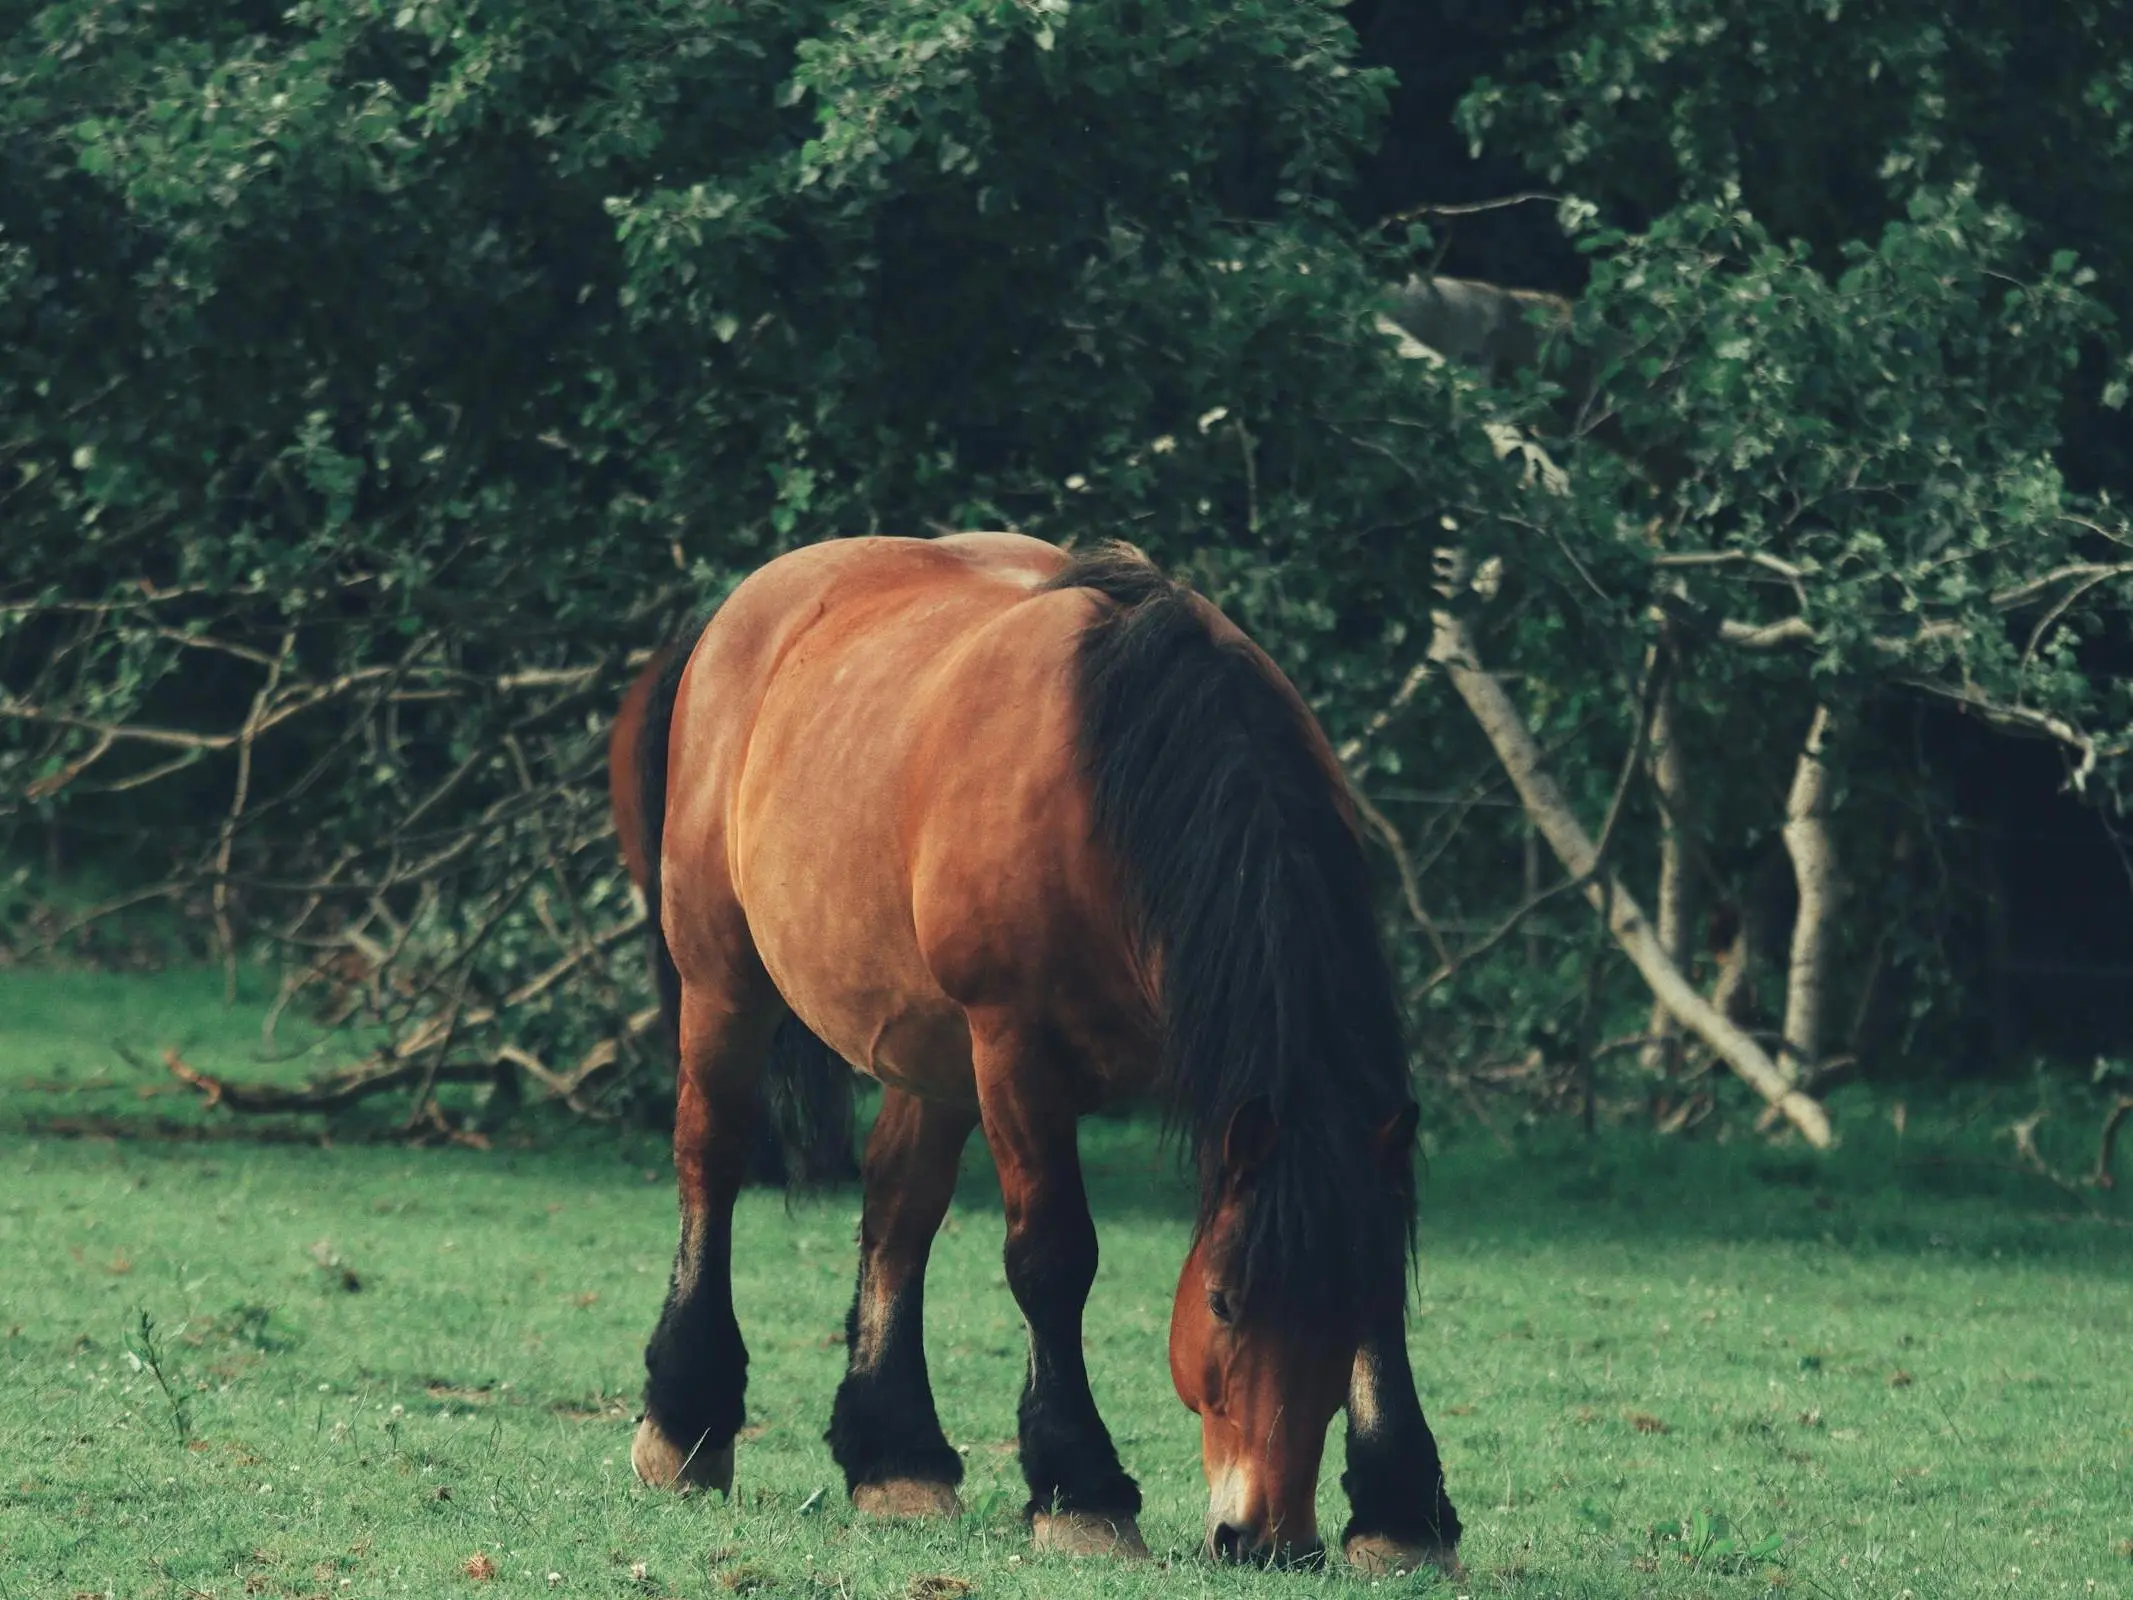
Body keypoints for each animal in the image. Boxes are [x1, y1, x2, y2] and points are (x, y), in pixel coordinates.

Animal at [631, 533, 1458, 1570]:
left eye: (1345, 1309)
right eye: (1222, 1302)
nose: (1266, 1536)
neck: (1118, 785)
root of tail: (744, 608)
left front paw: (1401, 1510)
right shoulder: (1017, 1054)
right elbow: (1053, 1258)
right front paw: (1081, 1489)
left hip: (929, 1050)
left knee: (898, 1208)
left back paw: (896, 1458)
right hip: (725, 981)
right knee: (711, 1157)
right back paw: (685, 1427)